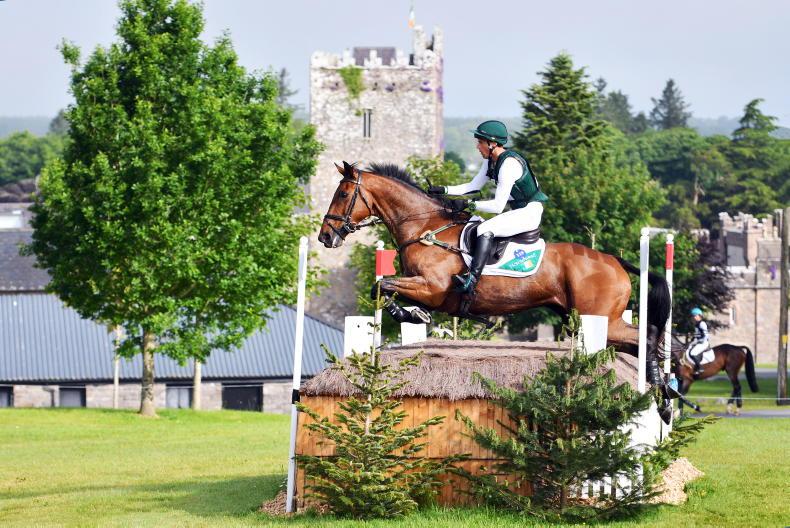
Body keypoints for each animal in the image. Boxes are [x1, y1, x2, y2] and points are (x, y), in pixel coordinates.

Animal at [318, 162, 671, 360]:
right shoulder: (421, 287)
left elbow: (385, 286)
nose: (325, 236)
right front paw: (413, 314)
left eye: (343, 194)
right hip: (590, 318)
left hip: (600, 318)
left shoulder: (431, 287)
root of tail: (615, 261)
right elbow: (383, 287)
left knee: (648, 338)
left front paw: (413, 313)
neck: (425, 228)